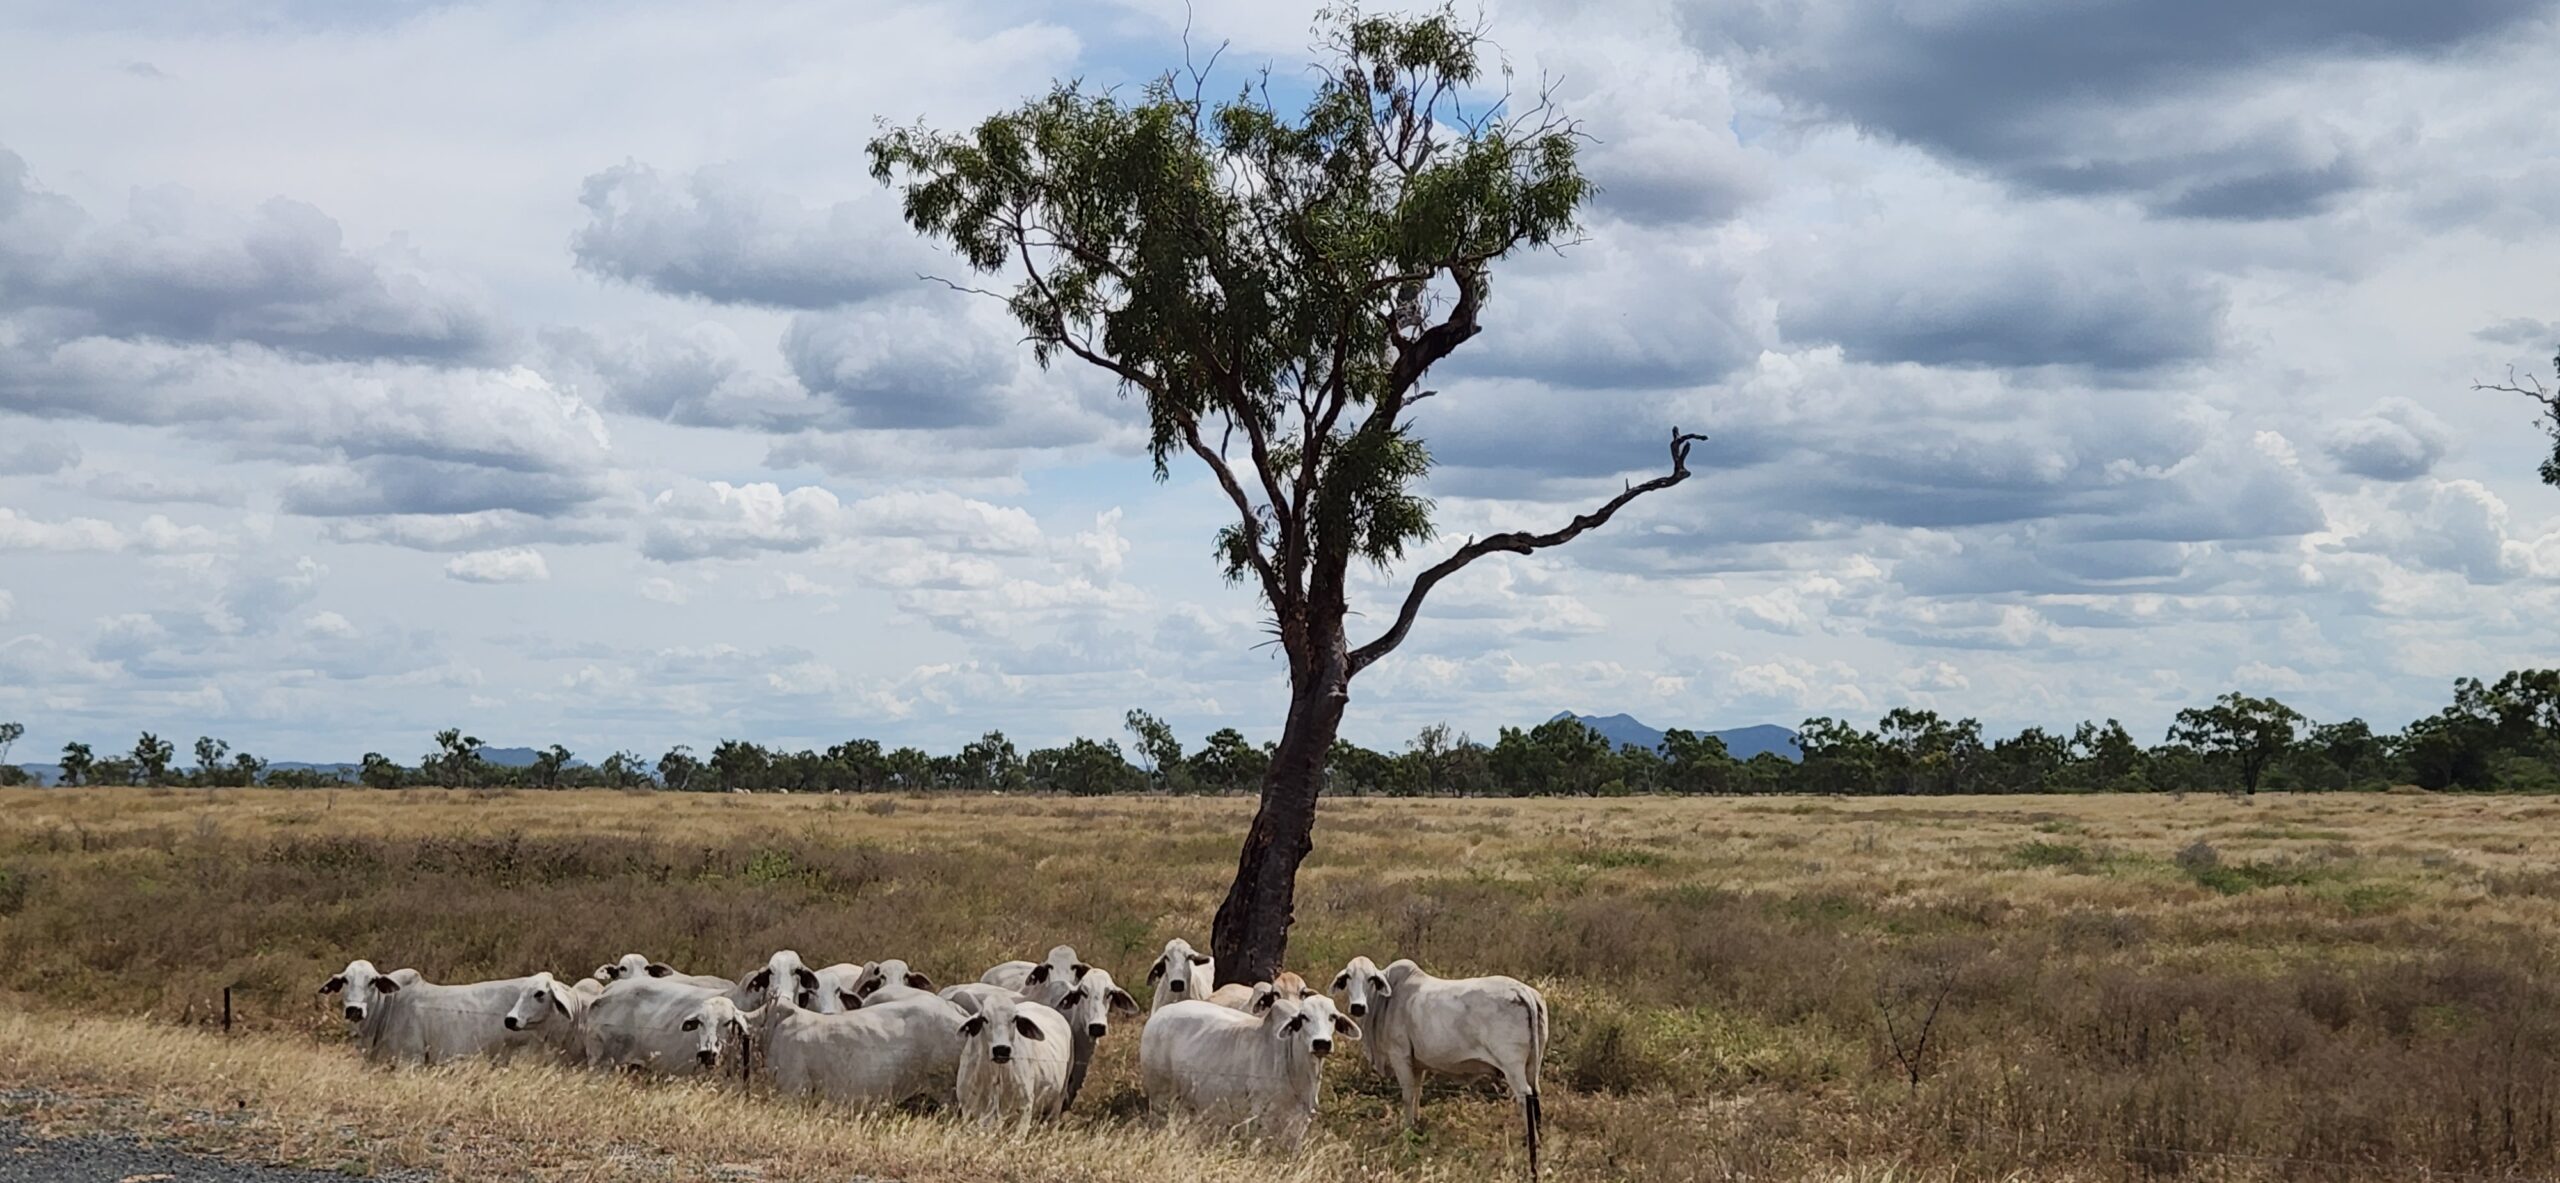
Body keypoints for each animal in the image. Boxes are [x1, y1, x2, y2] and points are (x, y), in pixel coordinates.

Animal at [1141, 993, 1361, 1152]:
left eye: (1332, 1017)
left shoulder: (1300, 1123)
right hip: (1160, 1099)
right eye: (1304, 1017)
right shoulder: (1260, 1115)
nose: (1321, 1043)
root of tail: (1159, 1015)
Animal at [1331, 962, 1546, 1172]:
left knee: (1525, 1096)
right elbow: (1417, 1094)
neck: (1388, 1001)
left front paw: (1407, 1130)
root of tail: (1523, 991)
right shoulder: (1417, 1064)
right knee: (1535, 1094)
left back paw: (1531, 1142)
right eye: (1348, 977)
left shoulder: (1400, 1055)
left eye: (1371, 979)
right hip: (1532, 1065)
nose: (1358, 1007)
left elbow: (1408, 1096)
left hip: (1512, 1066)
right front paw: (1416, 1125)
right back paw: (1538, 1138)